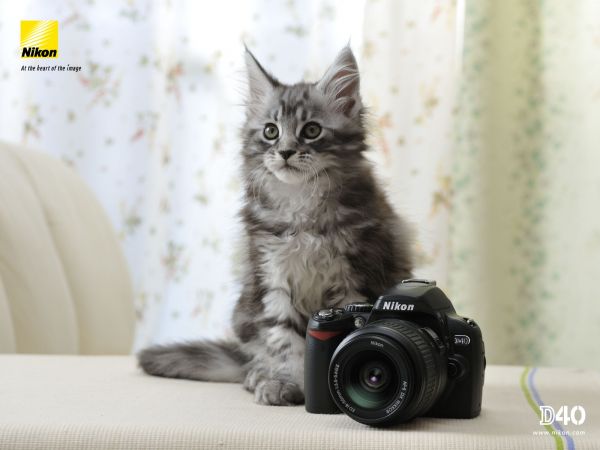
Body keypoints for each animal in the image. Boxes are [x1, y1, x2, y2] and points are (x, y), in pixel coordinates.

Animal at [139, 46, 412, 408]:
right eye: (271, 131)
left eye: (311, 130)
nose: (284, 152)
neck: (302, 205)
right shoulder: (271, 276)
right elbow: (282, 338)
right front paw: (286, 382)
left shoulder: (355, 275)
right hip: (244, 311)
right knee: (253, 355)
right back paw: (257, 376)